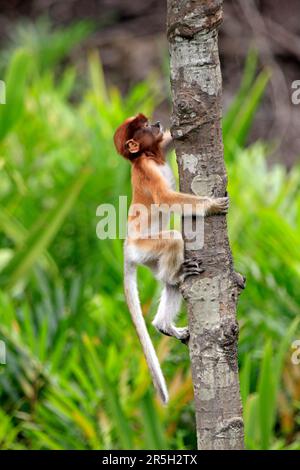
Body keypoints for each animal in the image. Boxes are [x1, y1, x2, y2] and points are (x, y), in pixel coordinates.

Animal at [113, 112, 229, 402]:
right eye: (143, 127)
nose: (155, 124)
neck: (147, 157)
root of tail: (127, 248)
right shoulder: (148, 170)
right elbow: (166, 198)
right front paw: (212, 205)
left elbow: (172, 140)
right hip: (146, 247)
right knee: (174, 239)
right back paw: (177, 274)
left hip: (148, 259)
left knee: (170, 285)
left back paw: (164, 324)